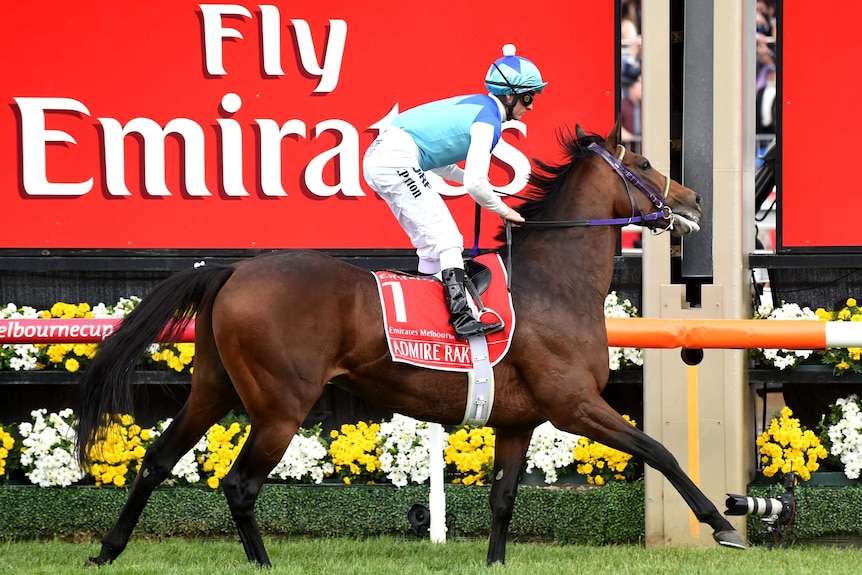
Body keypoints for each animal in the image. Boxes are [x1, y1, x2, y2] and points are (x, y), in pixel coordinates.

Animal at [76, 121, 748, 568]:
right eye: (644, 160)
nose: (693, 199)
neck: (554, 283)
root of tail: (235, 269)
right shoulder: (574, 404)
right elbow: (661, 452)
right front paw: (724, 525)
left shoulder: (519, 419)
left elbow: (504, 498)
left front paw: (495, 562)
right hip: (280, 407)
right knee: (240, 485)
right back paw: (261, 564)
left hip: (214, 389)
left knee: (156, 460)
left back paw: (108, 550)